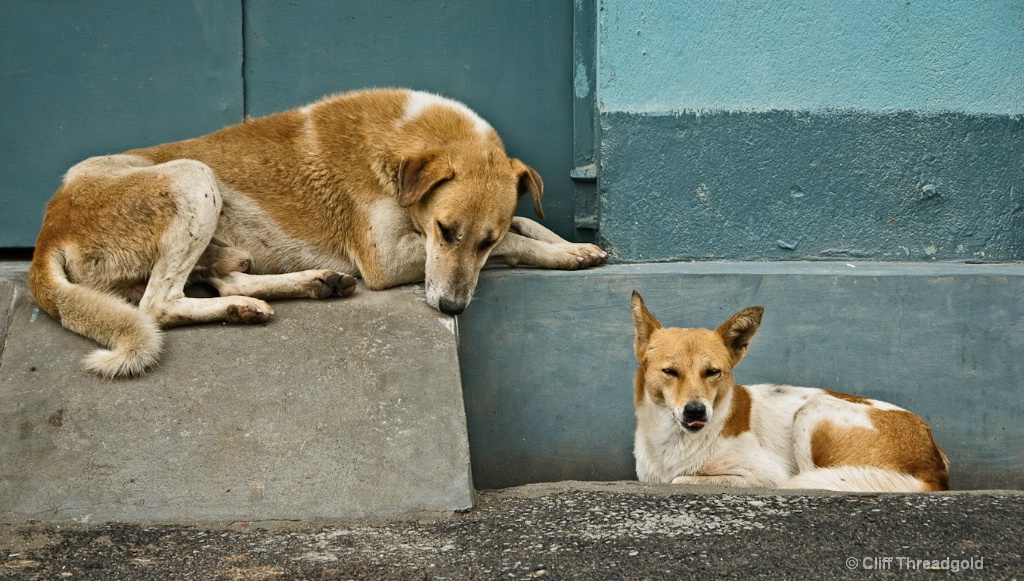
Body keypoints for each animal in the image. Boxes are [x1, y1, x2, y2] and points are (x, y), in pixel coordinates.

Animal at [29, 86, 606, 377]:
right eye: (445, 230)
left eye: (480, 241)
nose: (451, 309)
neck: (399, 141)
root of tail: (46, 234)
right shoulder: (387, 258)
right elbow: (517, 240)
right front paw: (563, 253)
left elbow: (522, 223)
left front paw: (575, 245)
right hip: (192, 177)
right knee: (158, 305)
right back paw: (251, 304)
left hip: (215, 238)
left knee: (226, 278)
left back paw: (304, 287)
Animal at [630, 293, 950, 493]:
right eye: (670, 372)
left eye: (713, 372)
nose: (696, 410)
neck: (676, 440)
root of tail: (934, 462)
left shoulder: (765, 475)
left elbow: (681, 479)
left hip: (813, 412)